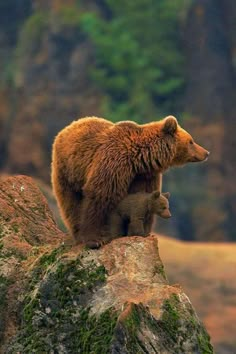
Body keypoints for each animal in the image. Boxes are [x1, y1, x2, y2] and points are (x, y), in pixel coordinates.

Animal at [51, 115, 208, 248]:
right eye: (191, 141)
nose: (206, 152)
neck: (138, 159)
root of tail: (69, 126)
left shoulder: (145, 176)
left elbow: (145, 200)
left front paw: (142, 232)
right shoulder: (113, 165)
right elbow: (99, 196)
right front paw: (95, 240)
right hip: (67, 170)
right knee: (71, 203)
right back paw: (78, 234)